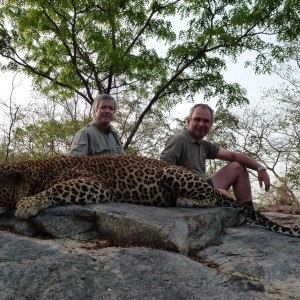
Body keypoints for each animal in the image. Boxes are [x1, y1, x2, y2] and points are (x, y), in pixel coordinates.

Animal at [0, 155, 298, 237]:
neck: (35, 171)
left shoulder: (92, 184)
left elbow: (56, 189)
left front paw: (27, 204)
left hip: (172, 172)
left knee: (212, 198)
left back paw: (185, 200)